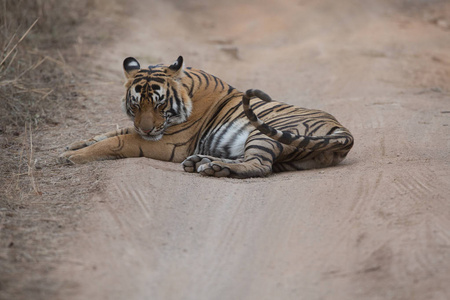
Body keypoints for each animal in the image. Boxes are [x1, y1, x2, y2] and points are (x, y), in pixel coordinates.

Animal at [60, 56, 356, 178]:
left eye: (159, 104)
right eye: (135, 105)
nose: (147, 129)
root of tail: (343, 132)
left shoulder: (167, 143)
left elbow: (117, 141)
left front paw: (73, 157)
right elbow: (114, 132)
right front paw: (72, 146)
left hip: (266, 132)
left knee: (260, 165)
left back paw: (213, 168)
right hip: (292, 157)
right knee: (261, 162)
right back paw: (205, 163)